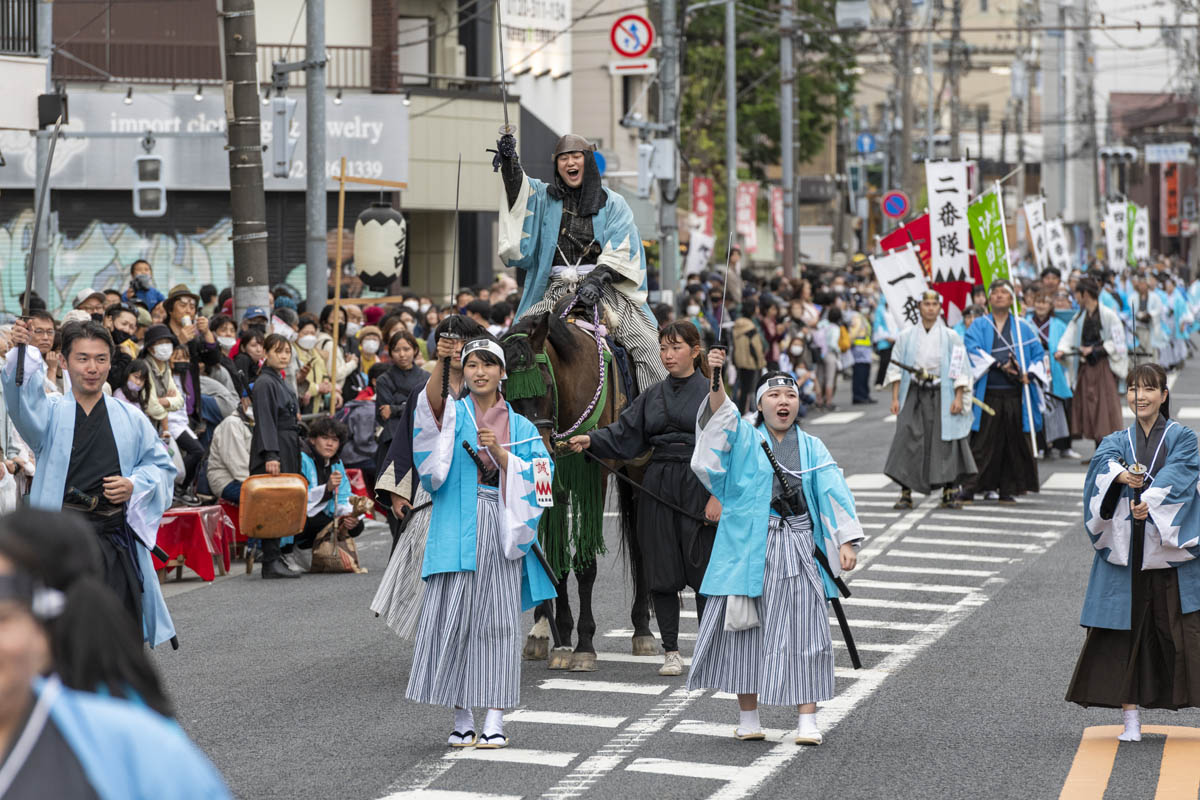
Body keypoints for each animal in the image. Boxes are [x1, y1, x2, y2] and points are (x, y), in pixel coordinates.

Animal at [504, 304, 662, 671]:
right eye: (506, 394)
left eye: (546, 385)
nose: (537, 451)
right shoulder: (555, 483)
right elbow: (556, 559)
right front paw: (562, 638)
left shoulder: (593, 476)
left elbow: (586, 565)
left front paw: (585, 643)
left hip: (638, 469)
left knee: (640, 540)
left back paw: (642, 631)